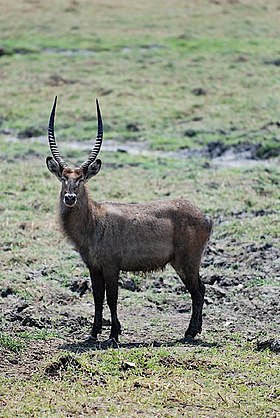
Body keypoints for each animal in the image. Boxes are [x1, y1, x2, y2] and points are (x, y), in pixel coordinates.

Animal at [46, 98, 212, 342]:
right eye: (63, 177)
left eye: (82, 178)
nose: (70, 198)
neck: (94, 220)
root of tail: (204, 216)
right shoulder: (94, 267)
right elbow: (97, 298)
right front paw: (93, 334)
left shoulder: (111, 266)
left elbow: (112, 298)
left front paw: (114, 334)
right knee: (199, 289)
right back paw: (193, 330)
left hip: (187, 261)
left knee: (198, 290)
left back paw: (190, 332)